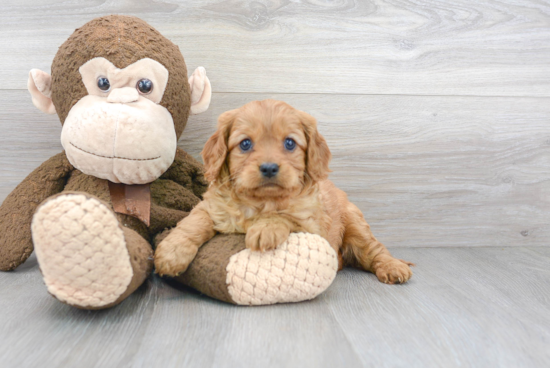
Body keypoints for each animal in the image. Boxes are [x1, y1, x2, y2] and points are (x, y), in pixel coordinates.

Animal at [155, 99, 414, 284]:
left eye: (290, 143)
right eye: (245, 144)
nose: (269, 168)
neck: (260, 202)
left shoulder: (312, 226)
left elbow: (285, 217)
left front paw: (265, 229)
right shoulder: (212, 206)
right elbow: (193, 222)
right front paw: (171, 252)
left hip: (355, 225)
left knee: (374, 250)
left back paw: (393, 267)